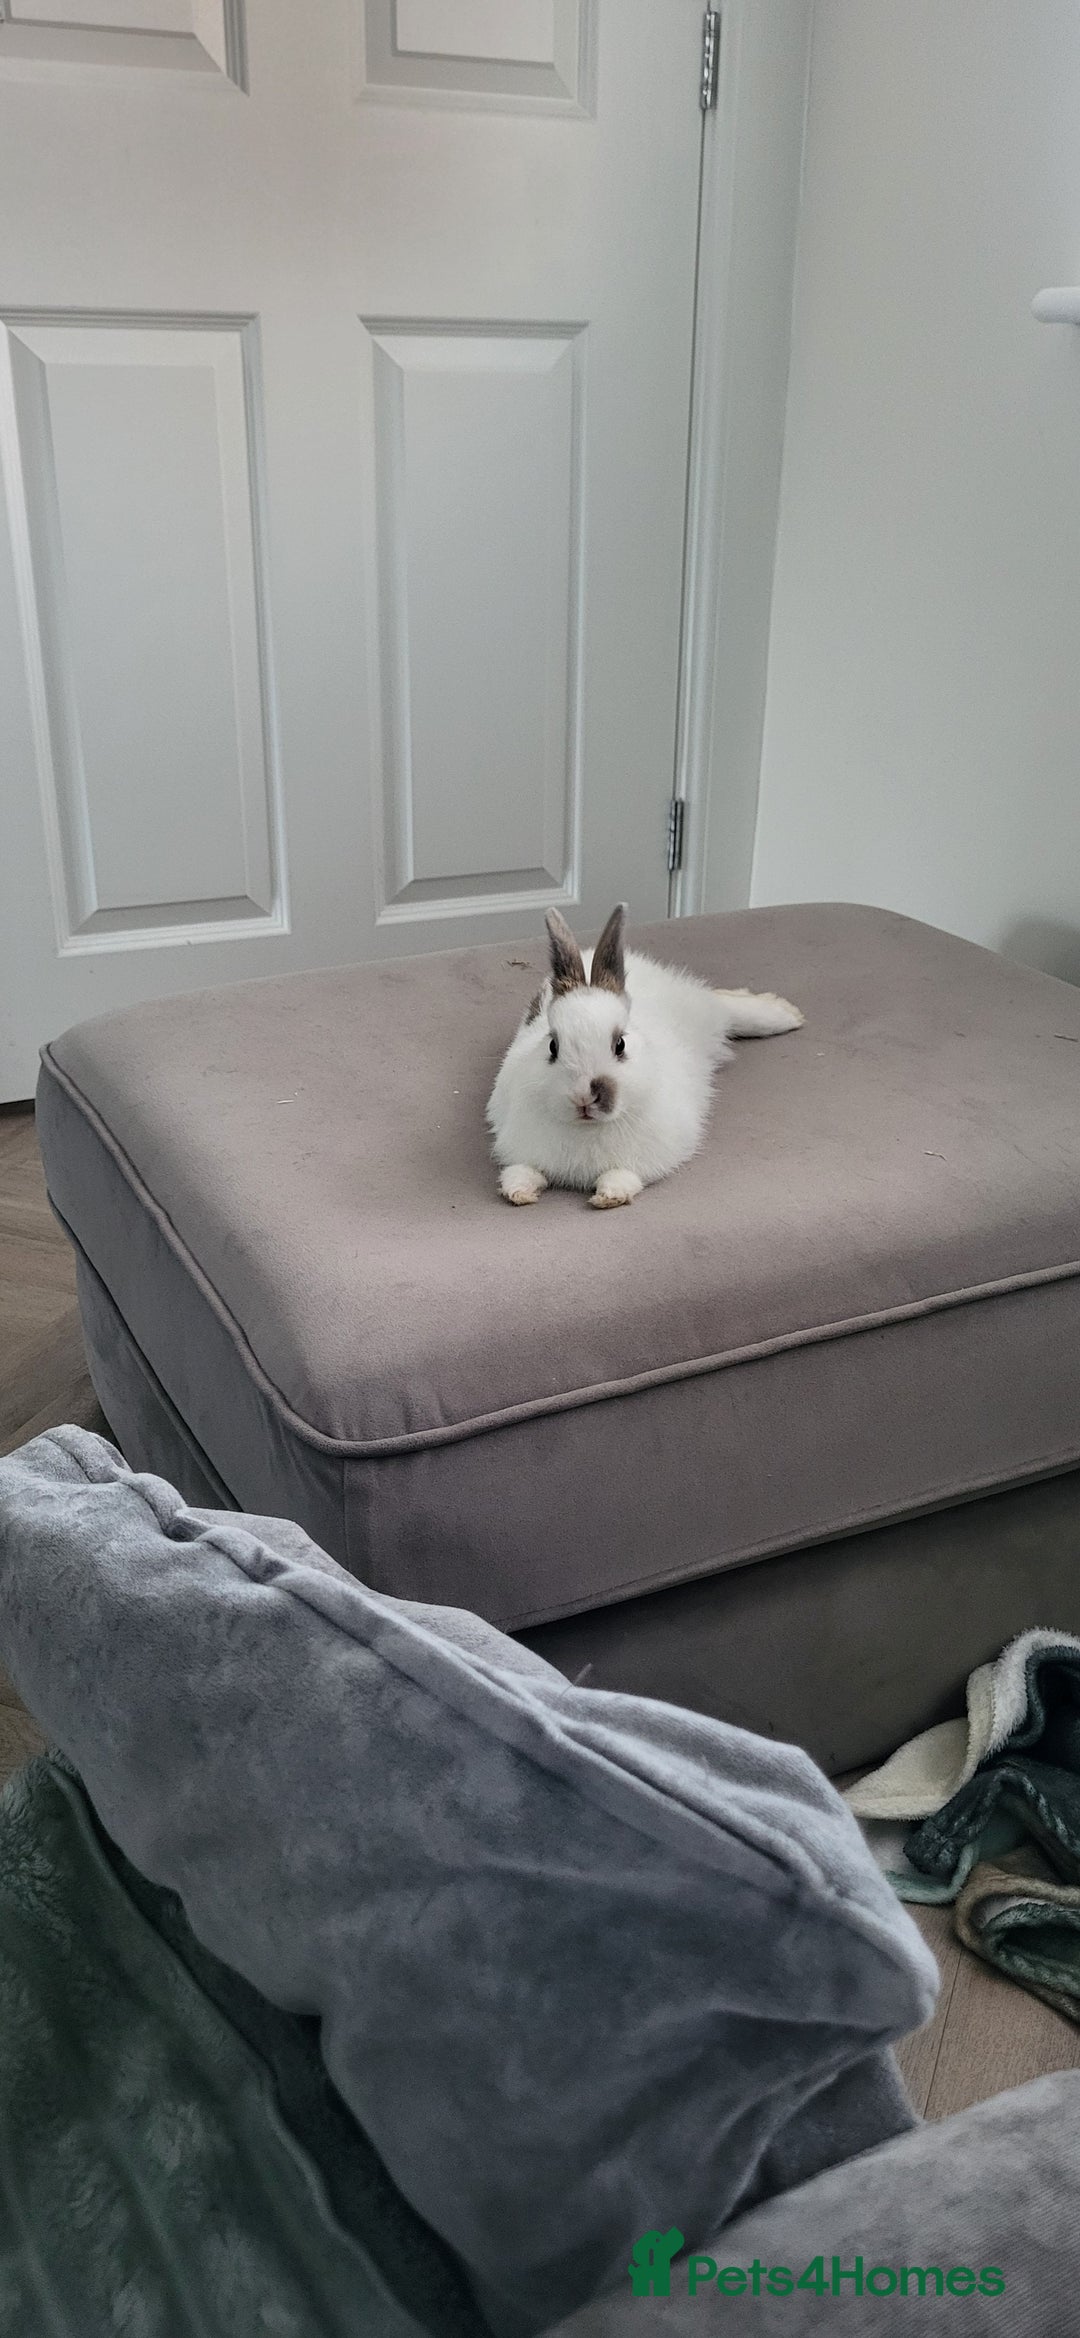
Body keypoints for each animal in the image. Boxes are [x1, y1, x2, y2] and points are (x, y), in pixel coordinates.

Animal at [486, 903, 803, 1208]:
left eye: (620, 1045)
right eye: (553, 1046)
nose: (584, 1097)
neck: (588, 1129)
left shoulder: (647, 1159)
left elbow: (622, 1176)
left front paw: (609, 1196)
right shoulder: (519, 1148)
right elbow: (521, 1171)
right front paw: (518, 1193)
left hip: (704, 1014)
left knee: (724, 1007)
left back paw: (785, 1014)